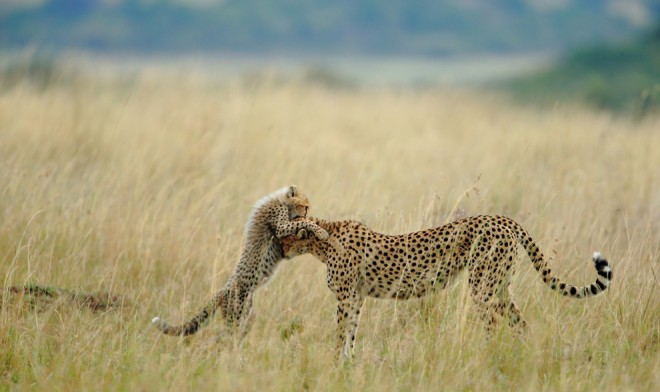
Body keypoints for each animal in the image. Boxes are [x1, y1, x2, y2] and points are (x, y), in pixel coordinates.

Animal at [282, 216, 612, 356]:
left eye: (282, 236)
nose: (280, 250)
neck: (322, 239)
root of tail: (504, 219)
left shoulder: (347, 297)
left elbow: (341, 334)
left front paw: (335, 365)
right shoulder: (357, 298)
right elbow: (350, 334)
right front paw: (347, 364)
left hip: (482, 286)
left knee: (493, 323)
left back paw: (486, 357)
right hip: (499, 286)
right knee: (520, 322)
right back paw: (519, 356)